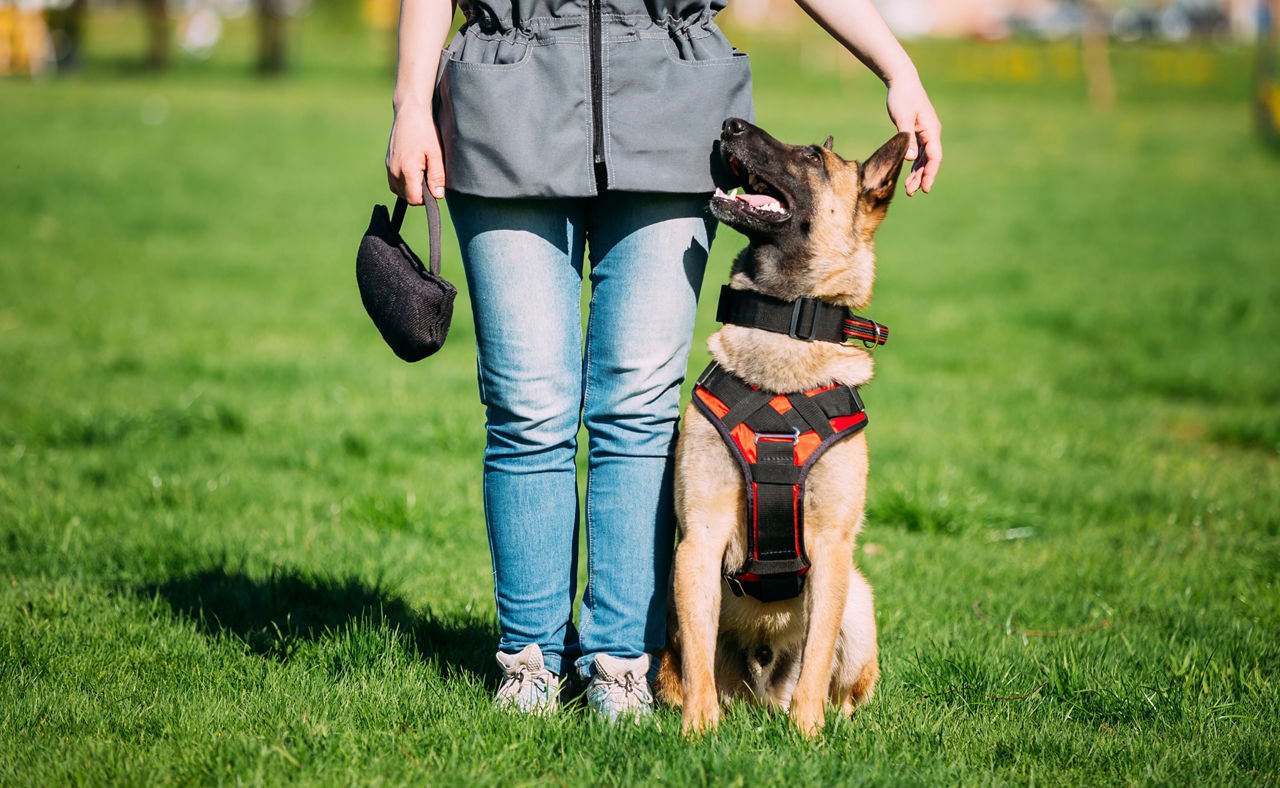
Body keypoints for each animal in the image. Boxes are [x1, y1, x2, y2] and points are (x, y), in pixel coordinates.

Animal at [655, 118, 916, 736]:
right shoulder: (698, 540)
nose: (729, 125)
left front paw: (807, 734)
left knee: (842, 684)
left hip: (859, 600)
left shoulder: (832, 547)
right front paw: (698, 731)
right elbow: (696, 653)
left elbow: (817, 659)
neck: (786, 327)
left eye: (812, 157)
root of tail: (759, 696)